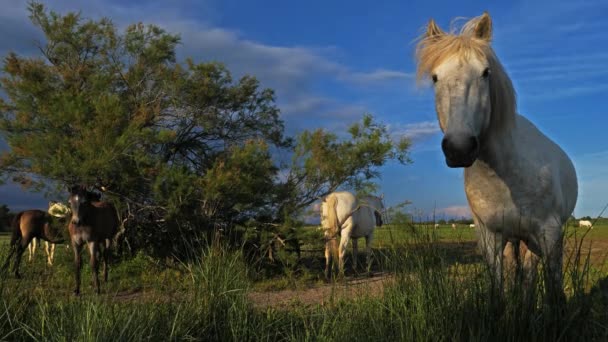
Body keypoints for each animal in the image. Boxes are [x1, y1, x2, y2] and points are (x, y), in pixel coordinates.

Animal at [416, 11, 576, 294]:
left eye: (485, 72)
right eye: (435, 77)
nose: (459, 148)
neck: (504, 175)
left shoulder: (550, 235)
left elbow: (555, 293)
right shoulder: (490, 239)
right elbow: (498, 294)